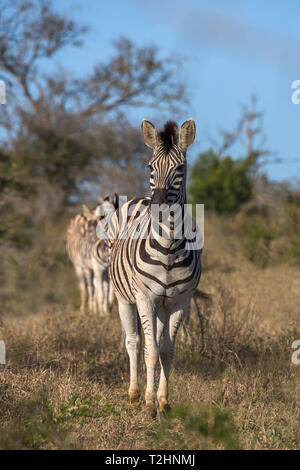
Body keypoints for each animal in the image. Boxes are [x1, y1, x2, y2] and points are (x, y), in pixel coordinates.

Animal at [108, 119, 202, 414]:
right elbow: (149, 350)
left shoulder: (180, 302)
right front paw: (149, 404)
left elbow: (166, 351)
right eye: (150, 167)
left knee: (157, 343)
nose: (158, 205)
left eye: (180, 168)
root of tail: (140, 197)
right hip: (125, 298)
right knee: (134, 342)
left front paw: (163, 401)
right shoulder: (145, 297)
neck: (169, 247)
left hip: (162, 305)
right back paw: (134, 394)